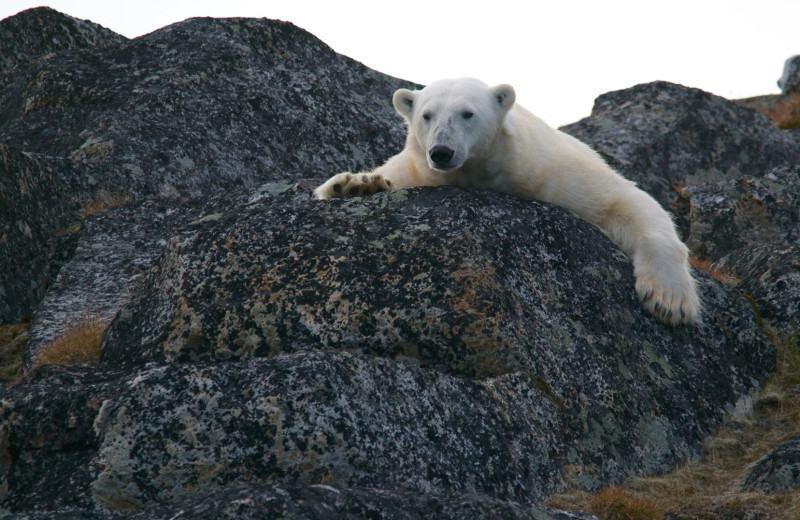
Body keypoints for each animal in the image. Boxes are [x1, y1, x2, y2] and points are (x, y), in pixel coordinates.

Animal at [312, 77, 700, 324]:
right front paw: (355, 184)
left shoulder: (551, 171)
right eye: (426, 115)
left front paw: (669, 300)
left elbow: (625, 200)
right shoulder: (417, 169)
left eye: (467, 113)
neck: (482, 172)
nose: (441, 151)